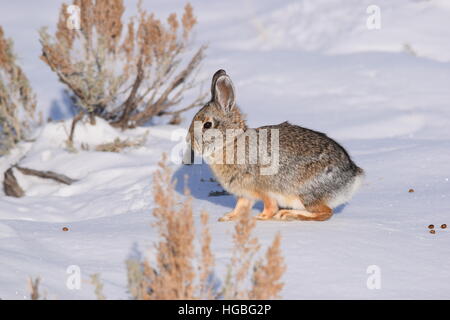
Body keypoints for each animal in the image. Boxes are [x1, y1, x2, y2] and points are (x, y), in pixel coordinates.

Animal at [187, 69, 366, 221]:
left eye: (207, 125)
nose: (190, 141)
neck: (232, 141)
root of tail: (353, 176)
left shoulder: (263, 188)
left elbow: (270, 206)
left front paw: (260, 218)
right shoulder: (244, 193)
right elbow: (241, 207)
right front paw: (228, 217)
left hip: (305, 193)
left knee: (325, 212)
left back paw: (287, 214)